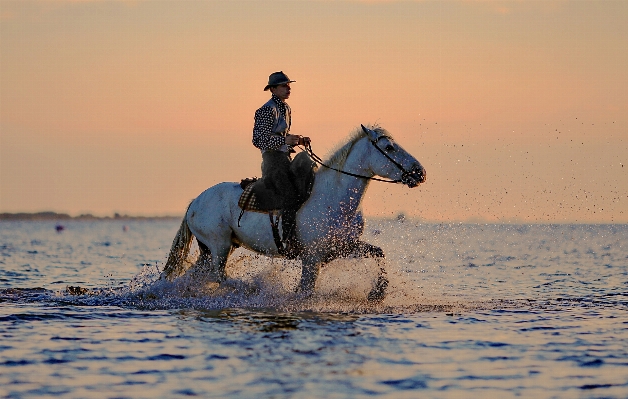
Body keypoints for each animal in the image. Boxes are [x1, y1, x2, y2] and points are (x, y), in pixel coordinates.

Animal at [162, 125, 426, 300]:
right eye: (389, 147)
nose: (420, 172)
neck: (334, 198)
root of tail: (195, 202)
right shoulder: (312, 257)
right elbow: (306, 290)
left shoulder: (343, 247)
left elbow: (378, 253)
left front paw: (377, 292)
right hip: (219, 246)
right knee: (218, 276)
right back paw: (250, 288)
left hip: (211, 249)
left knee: (199, 275)